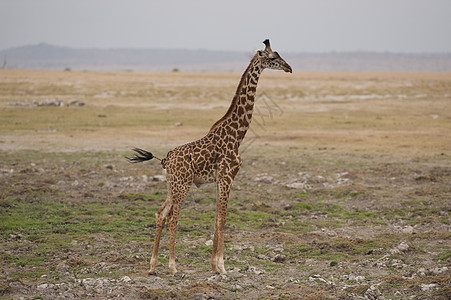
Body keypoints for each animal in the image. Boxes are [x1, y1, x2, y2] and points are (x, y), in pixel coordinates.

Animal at [127, 39, 294, 276]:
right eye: (272, 58)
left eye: (279, 55)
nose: (289, 67)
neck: (237, 135)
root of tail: (166, 160)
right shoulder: (227, 177)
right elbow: (222, 219)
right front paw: (223, 267)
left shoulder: (219, 180)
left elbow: (216, 219)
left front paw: (214, 266)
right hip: (183, 184)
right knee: (172, 217)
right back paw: (173, 266)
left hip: (171, 185)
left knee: (160, 213)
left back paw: (152, 266)